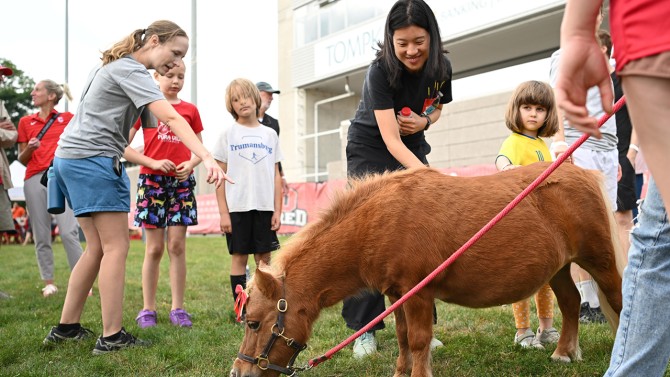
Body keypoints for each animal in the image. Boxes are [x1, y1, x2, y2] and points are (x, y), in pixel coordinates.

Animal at [231, 162, 624, 376]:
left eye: (254, 323)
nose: (238, 371)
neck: (378, 221)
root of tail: (582, 173)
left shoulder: (418, 292)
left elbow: (419, 339)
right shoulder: (397, 294)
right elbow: (404, 337)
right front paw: (400, 371)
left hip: (599, 260)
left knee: (619, 301)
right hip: (559, 267)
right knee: (571, 302)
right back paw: (564, 352)